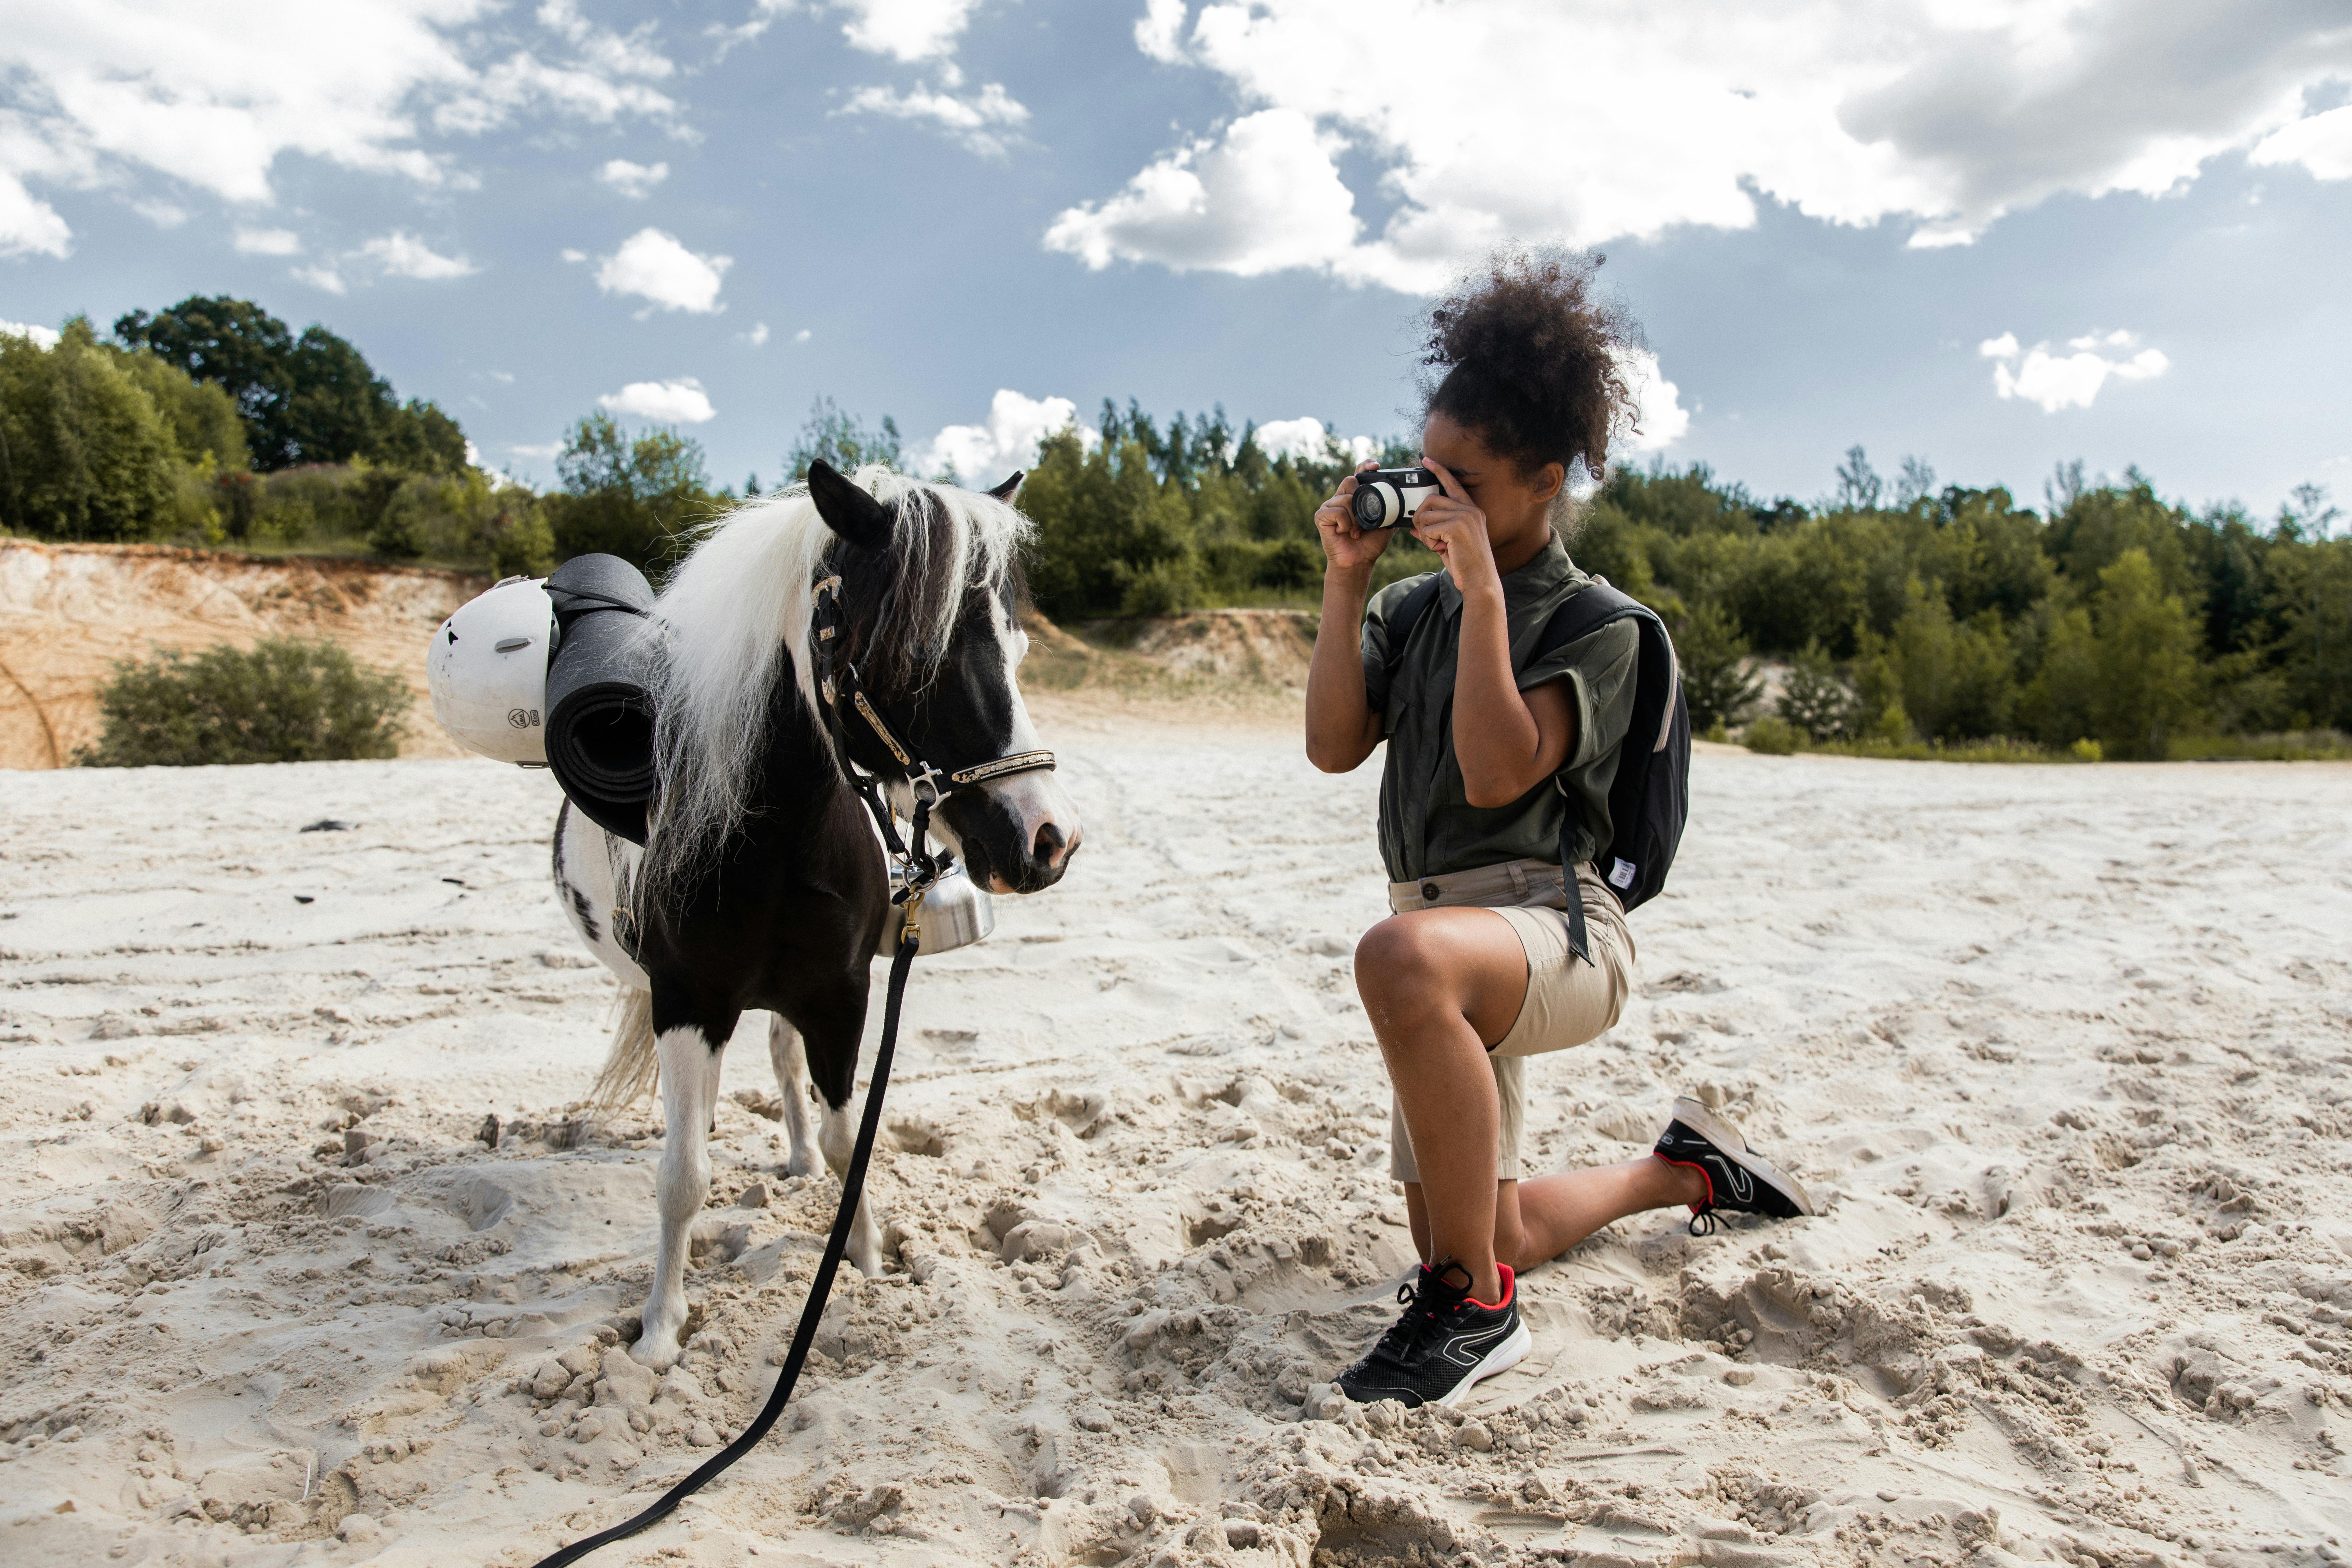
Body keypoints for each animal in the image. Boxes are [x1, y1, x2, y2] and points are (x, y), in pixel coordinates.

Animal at [548, 459, 1082, 1370]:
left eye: (1018, 649)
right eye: (915, 658)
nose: (1049, 839)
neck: (776, 838)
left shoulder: (841, 992)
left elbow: (847, 1141)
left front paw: (863, 1260)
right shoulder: (688, 1002)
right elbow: (682, 1174)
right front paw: (659, 1329)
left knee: (782, 1056)